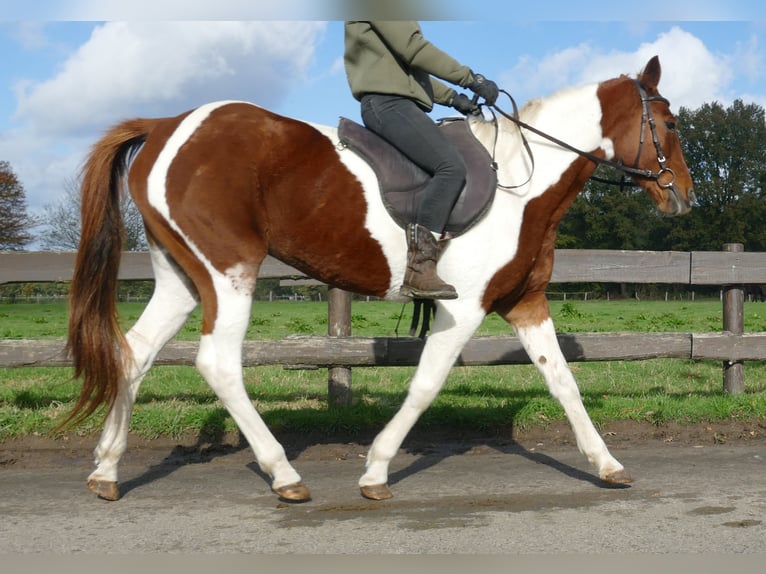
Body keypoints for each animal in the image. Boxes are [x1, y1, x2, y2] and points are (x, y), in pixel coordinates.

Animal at [67, 55, 696, 504]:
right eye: (667, 123)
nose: (684, 197)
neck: (524, 180)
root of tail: (165, 125)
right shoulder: (464, 308)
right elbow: (425, 385)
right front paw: (375, 470)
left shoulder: (525, 303)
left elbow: (564, 383)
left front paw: (608, 465)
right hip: (228, 272)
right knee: (218, 364)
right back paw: (283, 474)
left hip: (181, 277)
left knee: (134, 352)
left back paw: (107, 468)